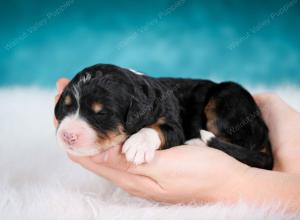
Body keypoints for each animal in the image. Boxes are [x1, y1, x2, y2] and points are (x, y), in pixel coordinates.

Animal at [55, 64, 274, 170]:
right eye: (66, 107)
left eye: (101, 113)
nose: (67, 136)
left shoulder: (174, 124)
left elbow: (156, 129)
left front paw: (138, 145)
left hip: (226, 97)